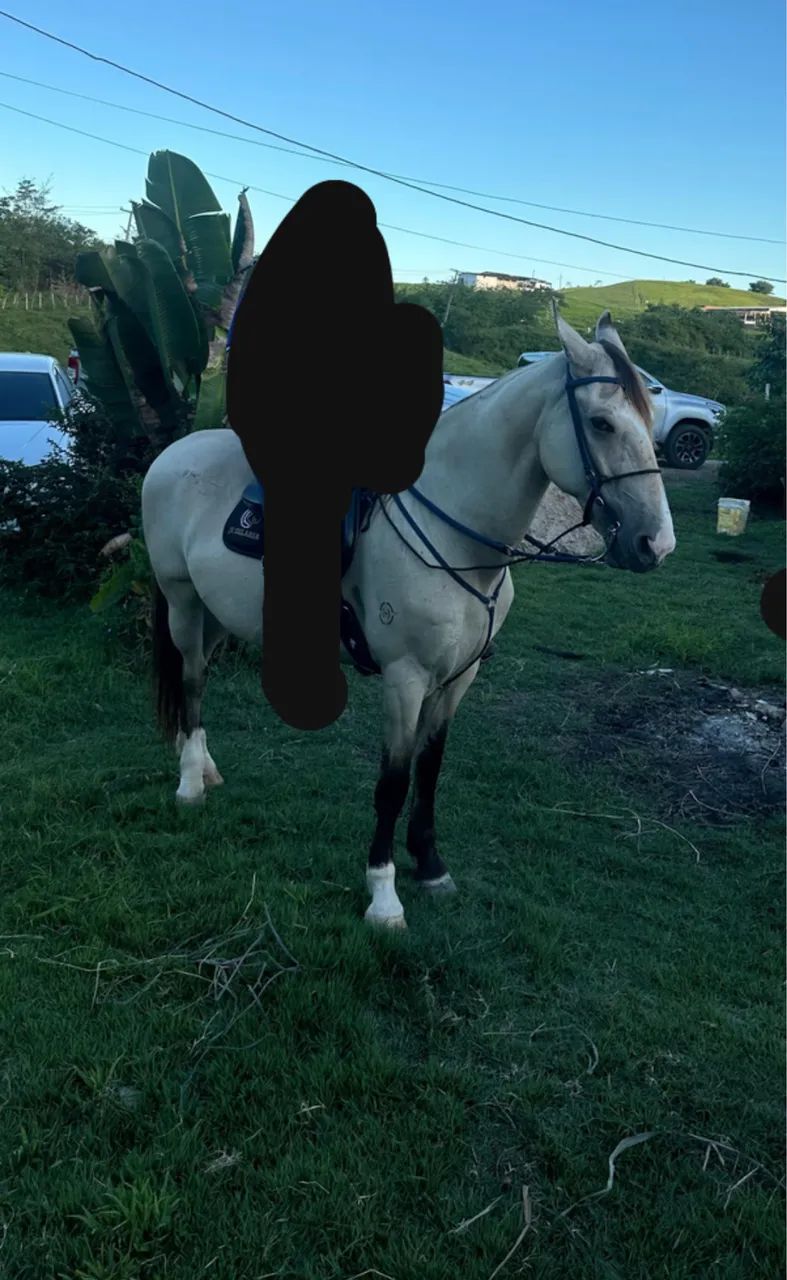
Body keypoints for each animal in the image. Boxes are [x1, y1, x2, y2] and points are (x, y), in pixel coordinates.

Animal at [141, 309, 675, 929]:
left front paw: (431, 867)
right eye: (602, 423)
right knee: (191, 680)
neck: (454, 529)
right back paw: (189, 785)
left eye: (649, 422)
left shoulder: (458, 678)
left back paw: (204, 767)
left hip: (218, 613)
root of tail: (175, 453)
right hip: (182, 602)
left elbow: (430, 769)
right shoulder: (405, 677)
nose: (656, 543)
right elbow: (392, 783)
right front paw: (384, 894)